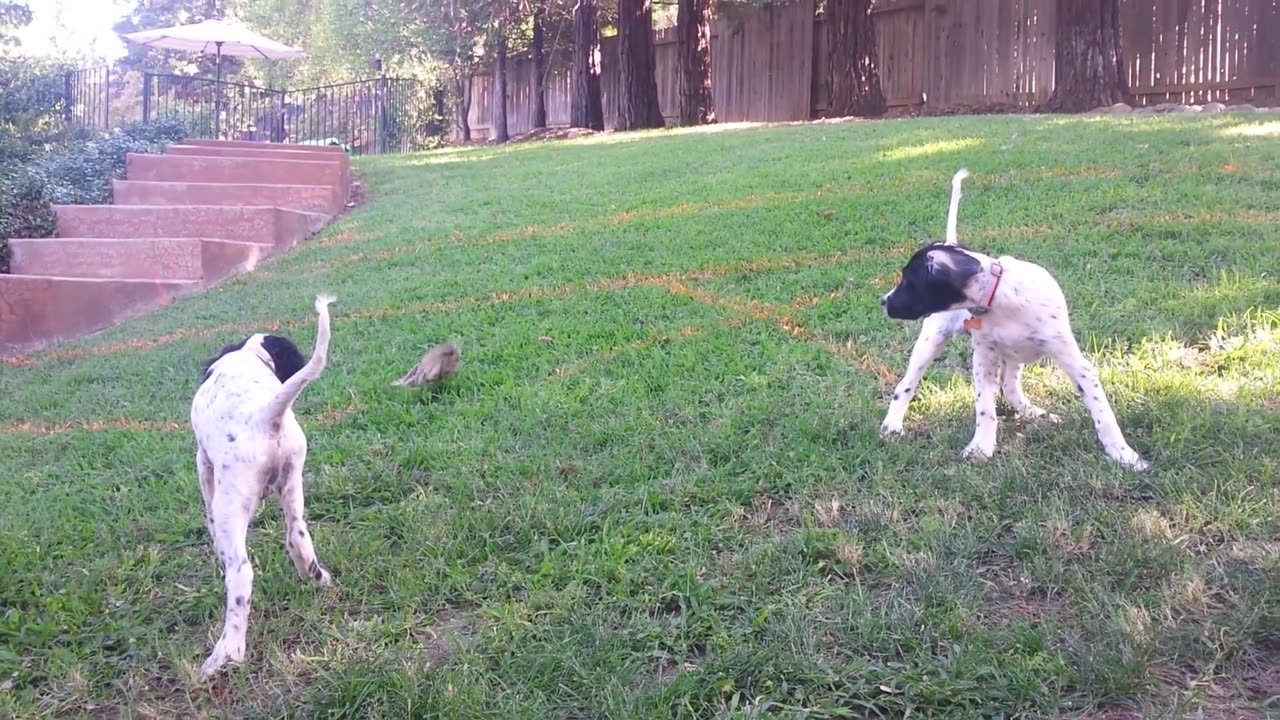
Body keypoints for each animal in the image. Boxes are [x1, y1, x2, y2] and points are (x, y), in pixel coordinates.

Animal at [186, 294, 335, 676]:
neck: (247, 354)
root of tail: (263, 415)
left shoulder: (202, 461)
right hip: (293, 482)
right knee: (297, 536)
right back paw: (318, 578)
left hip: (232, 508)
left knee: (240, 576)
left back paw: (226, 652)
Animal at [880, 169, 1152, 471]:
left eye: (907, 281)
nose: (884, 301)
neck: (999, 297)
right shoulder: (984, 357)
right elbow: (985, 407)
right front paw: (981, 447)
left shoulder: (1074, 361)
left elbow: (1102, 412)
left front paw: (1124, 454)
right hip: (934, 338)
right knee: (905, 386)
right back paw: (892, 426)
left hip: (1014, 355)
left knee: (1009, 388)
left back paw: (1036, 414)